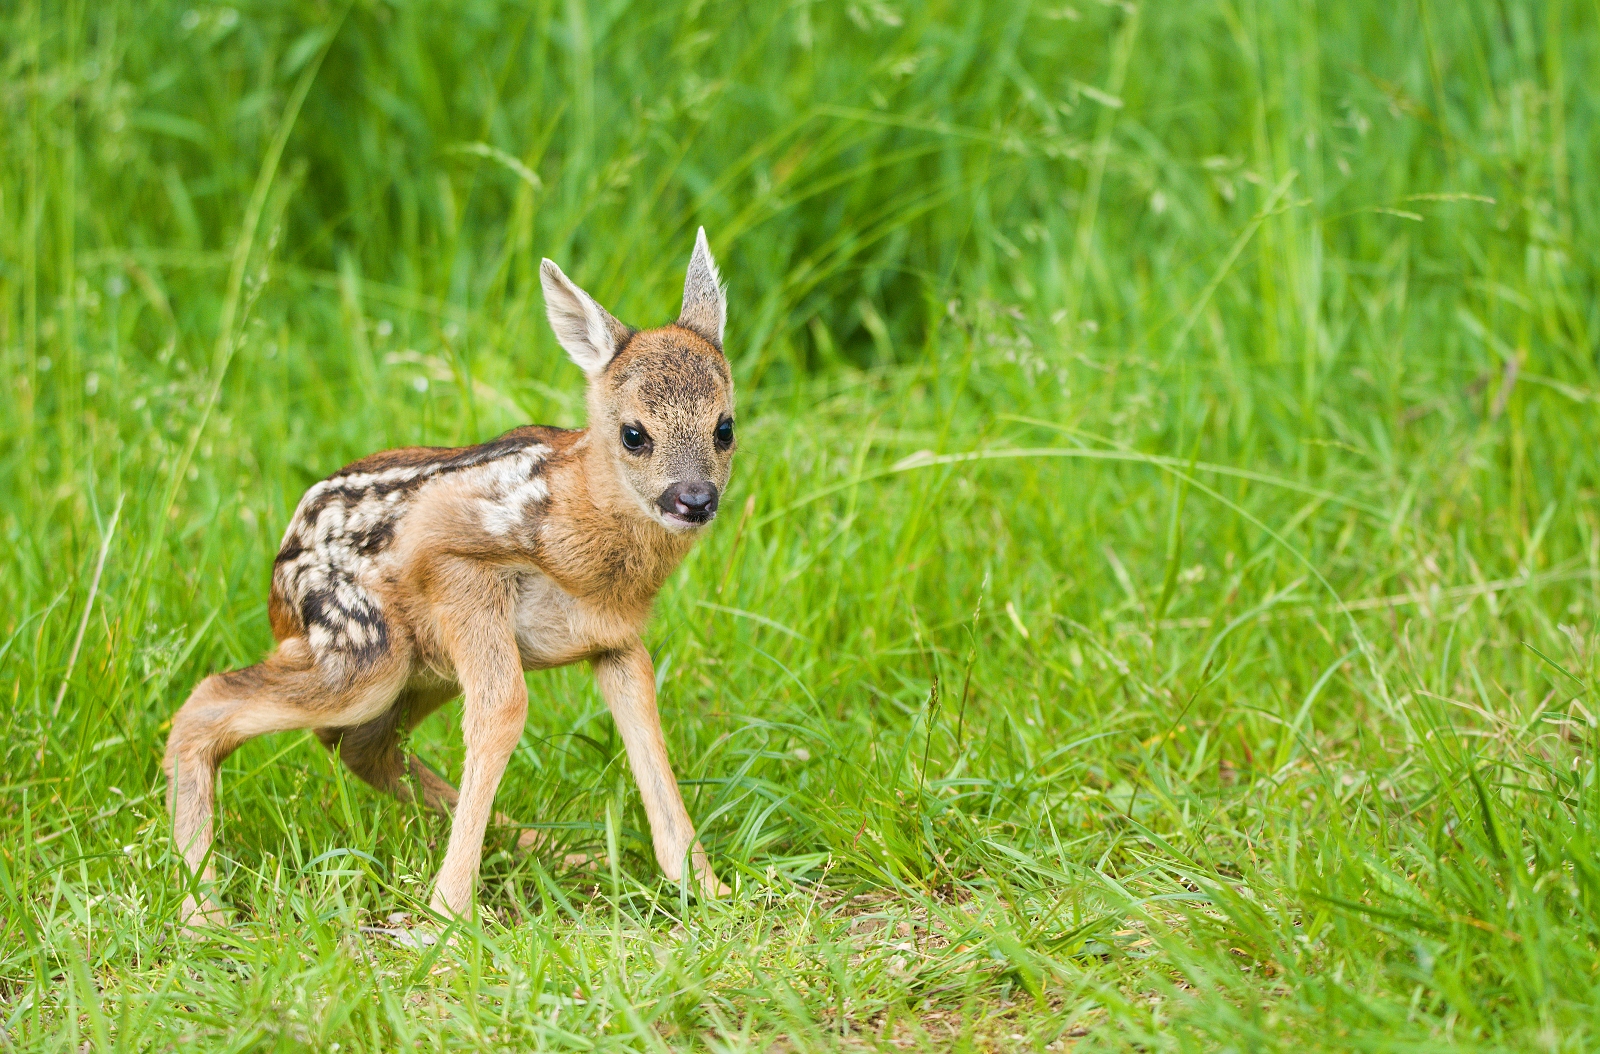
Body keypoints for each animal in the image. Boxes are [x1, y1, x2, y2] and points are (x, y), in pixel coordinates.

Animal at [163, 229, 736, 929]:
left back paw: (565, 853)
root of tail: (278, 579)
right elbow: (503, 711)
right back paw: (202, 914)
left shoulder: (615, 640)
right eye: (634, 434)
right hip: (366, 651)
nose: (694, 498)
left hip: (419, 670)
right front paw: (448, 915)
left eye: (724, 428)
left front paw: (709, 887)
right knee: (208, 703)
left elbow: (646, 729)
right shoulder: (459, 569)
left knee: (358, 746)